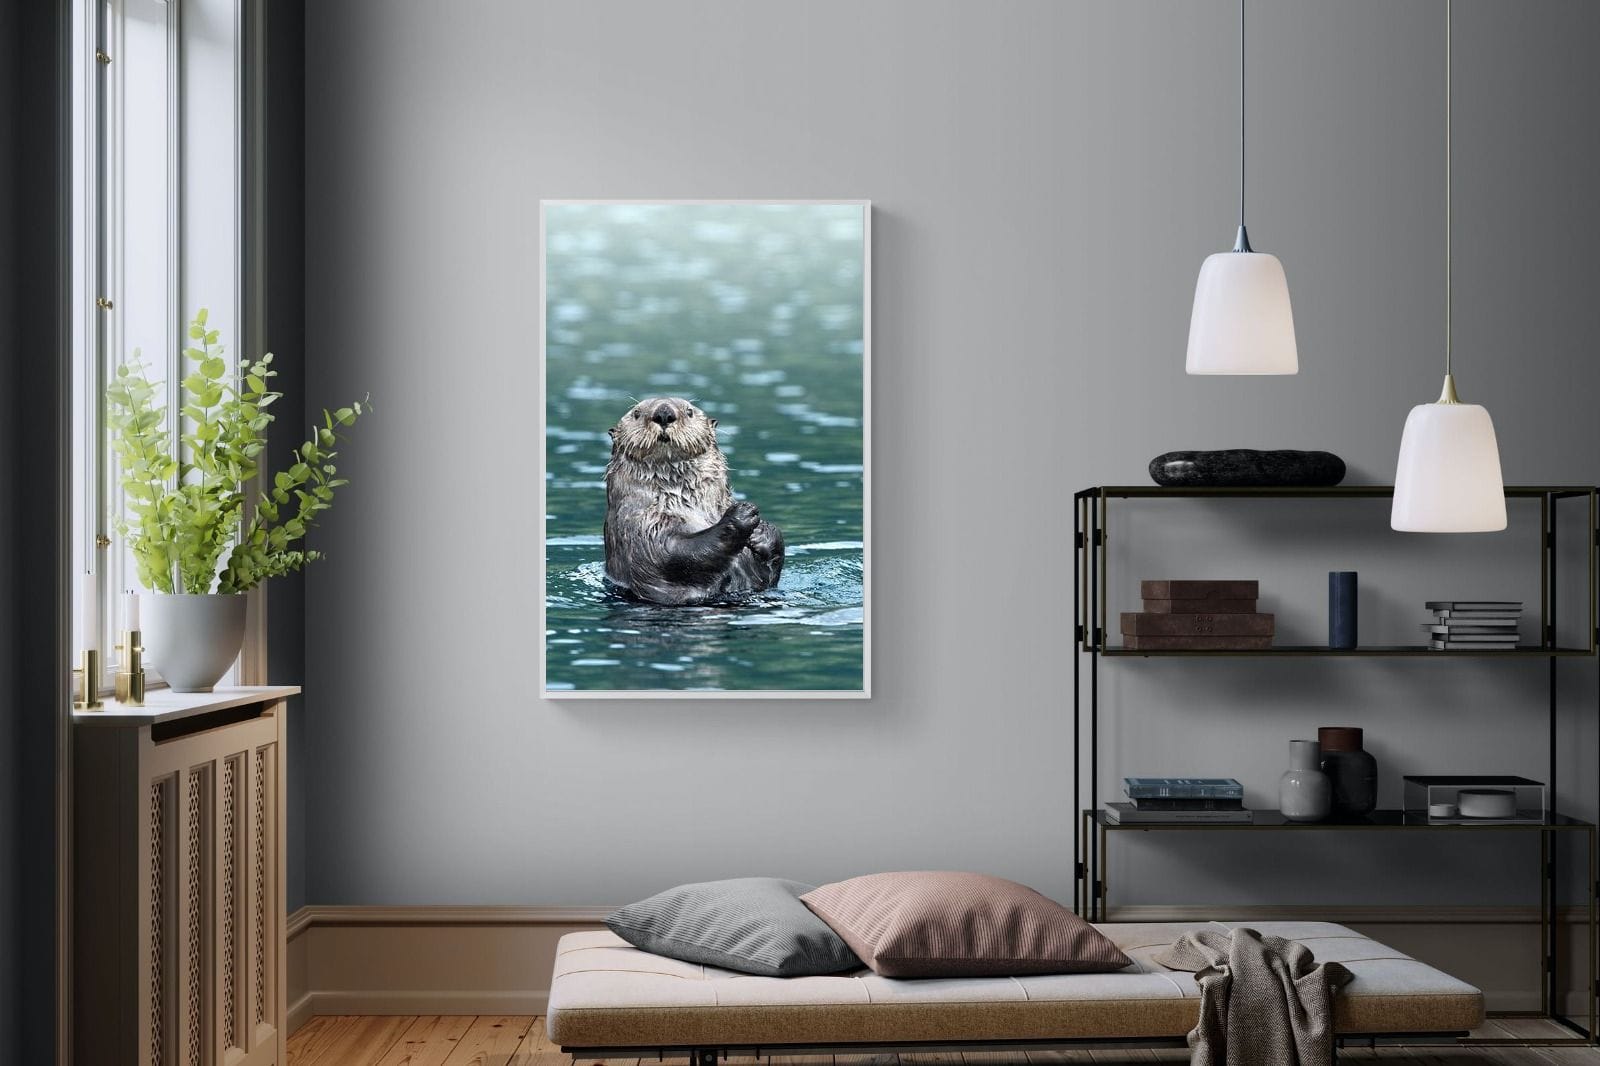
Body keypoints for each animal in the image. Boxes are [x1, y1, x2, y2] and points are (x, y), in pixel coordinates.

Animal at [603, 397, 784, 605]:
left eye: (689, 411)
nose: (664, 413)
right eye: (636, 413)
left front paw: (762, 532)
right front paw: (741, 514)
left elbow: (769, 575)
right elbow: (673, 553)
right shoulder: (639, 526)